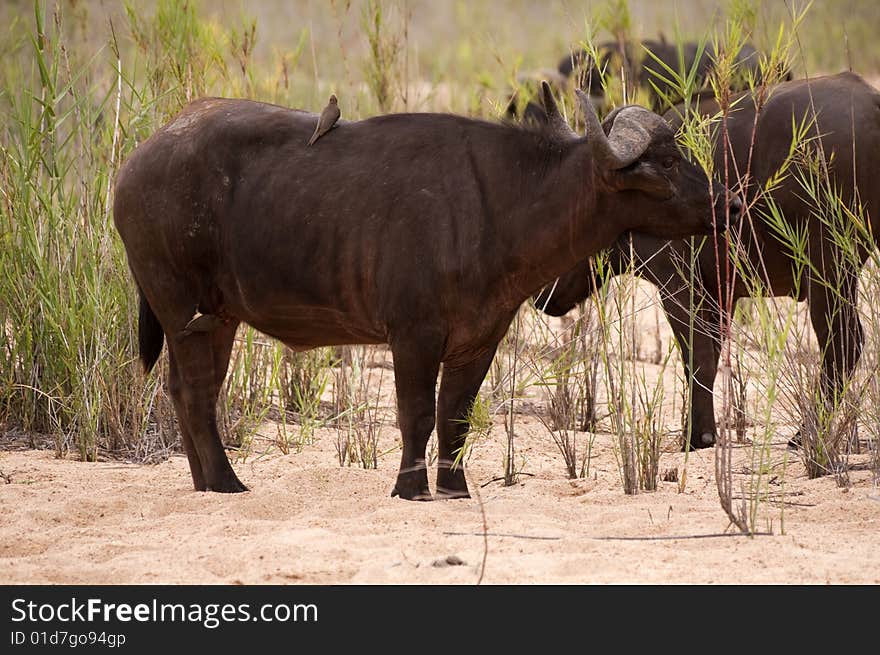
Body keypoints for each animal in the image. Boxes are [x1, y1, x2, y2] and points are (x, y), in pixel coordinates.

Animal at [113, 86, 740, 498]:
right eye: (665, 163)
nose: (728, 203)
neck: (498, 205)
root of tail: (136, 163)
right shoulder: (413, 336)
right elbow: (416, 412)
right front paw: (411, 488)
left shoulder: (480, 339)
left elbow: (455, 414)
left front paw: (454, 487)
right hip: (188, 311)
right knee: (197, 393)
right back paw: (226, 482)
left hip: (212, 319)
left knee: (183, 390)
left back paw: (204, 482)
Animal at [532, 72, 880, 452]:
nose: (538, 293)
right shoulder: (720, 294)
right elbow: (712, 354)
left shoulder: (677, 283)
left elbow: (697, 358)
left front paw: (698, 435)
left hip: (829, 269)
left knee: (843, 345)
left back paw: (806, 434)